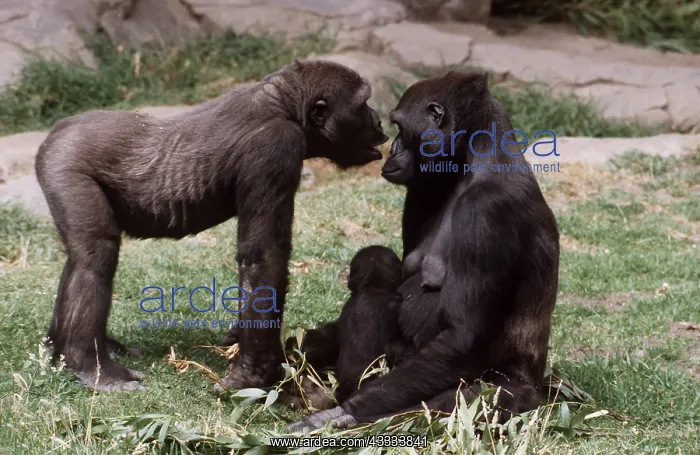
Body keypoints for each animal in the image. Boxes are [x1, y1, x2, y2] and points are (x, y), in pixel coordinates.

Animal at [34, 59, 388, 392]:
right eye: (362, 105)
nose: (379, 120)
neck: (284, 104)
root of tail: (57, 129)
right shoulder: (277, 145)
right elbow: (263, 258)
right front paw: (254, 372)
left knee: (79, 258)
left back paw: (67, 350)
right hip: (63, 163)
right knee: (95, 257)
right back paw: (88, 364)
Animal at [288, 70, 560, 432]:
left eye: (400, 127)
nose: (391, 148)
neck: (475, 161)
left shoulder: (487, 209)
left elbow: (463, 337)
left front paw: (341, 413)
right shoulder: (422, 186)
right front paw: (303, 345)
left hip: (523, 395)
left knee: (460, 402)